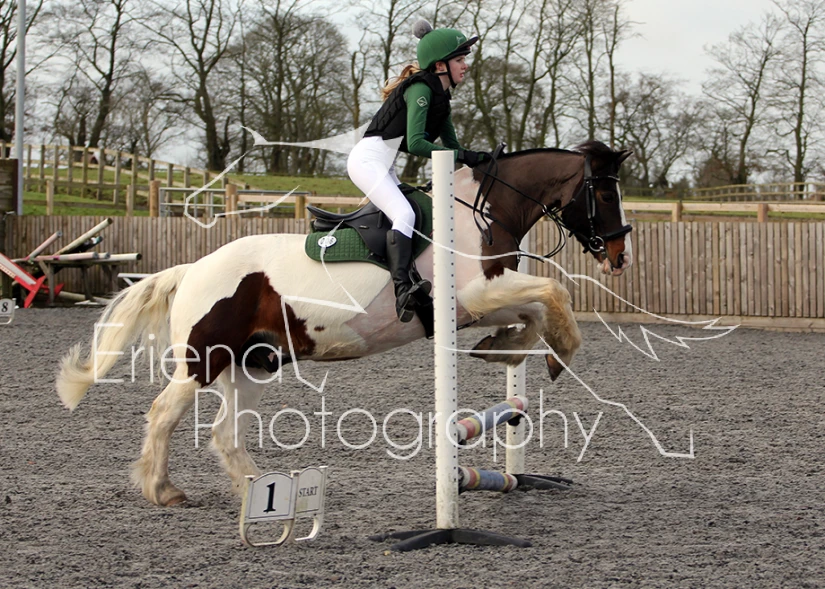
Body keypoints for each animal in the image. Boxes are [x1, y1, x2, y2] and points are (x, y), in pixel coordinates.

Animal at [57, 140, 633, 506]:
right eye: (605, 194)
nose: (619, 255)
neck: (479, 213)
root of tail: (192, 268)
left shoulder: (480, 301)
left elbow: (533, 311)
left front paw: (504, 347)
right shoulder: (473, 294)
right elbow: (553, 294)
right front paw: (554, 355)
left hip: (252, 365)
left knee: (224, 432)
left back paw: (262, 491)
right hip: (205, 359)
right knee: (163, 415)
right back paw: (164, 491)